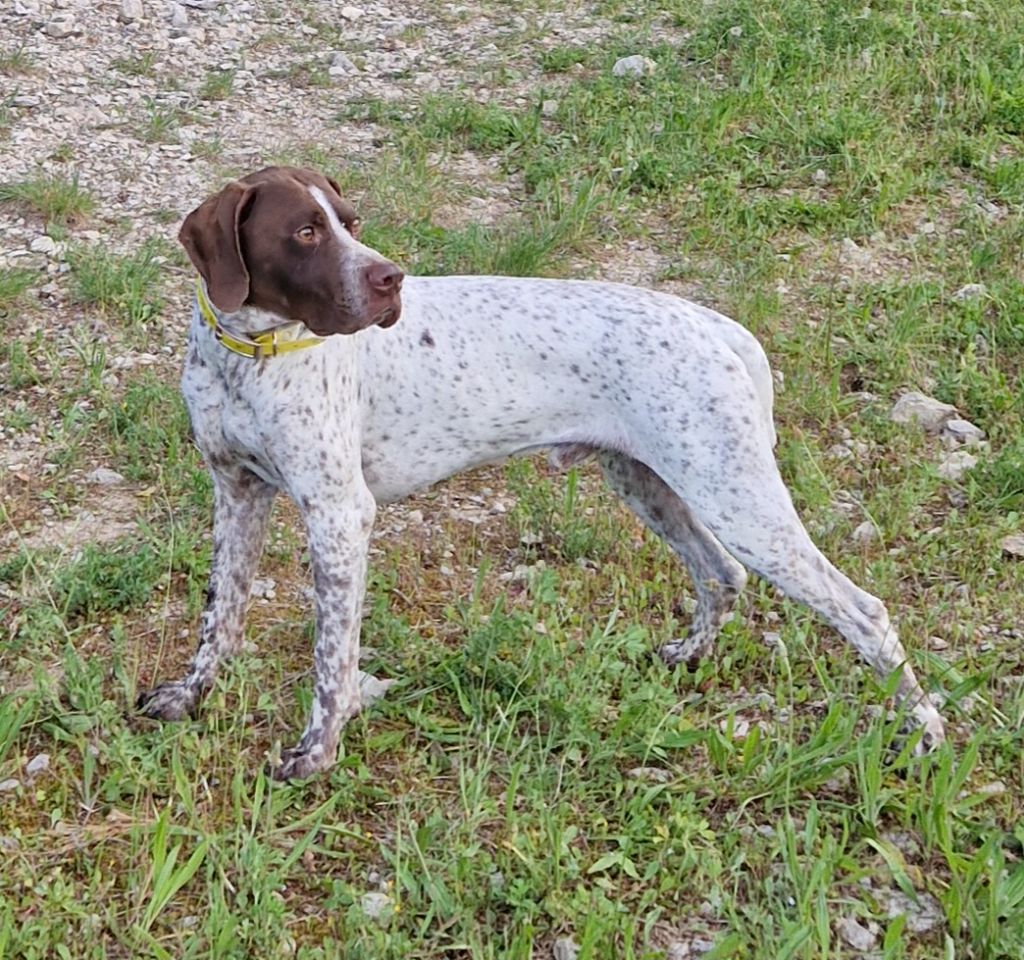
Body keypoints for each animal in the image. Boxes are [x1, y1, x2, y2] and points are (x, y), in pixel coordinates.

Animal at [136, 166, 942, 777]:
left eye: (350, 221)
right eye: (305, 232)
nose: (391, 280)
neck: (248, 359)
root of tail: (715, 325)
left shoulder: (339, 516)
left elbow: (331, 661)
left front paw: (317, 754)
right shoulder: (236, 495)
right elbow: (219, 618)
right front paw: (190, 697)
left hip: (738, 499)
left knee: (864, 611)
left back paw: (924, 733)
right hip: (650, 483)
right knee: (721, 575)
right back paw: (689, 654)